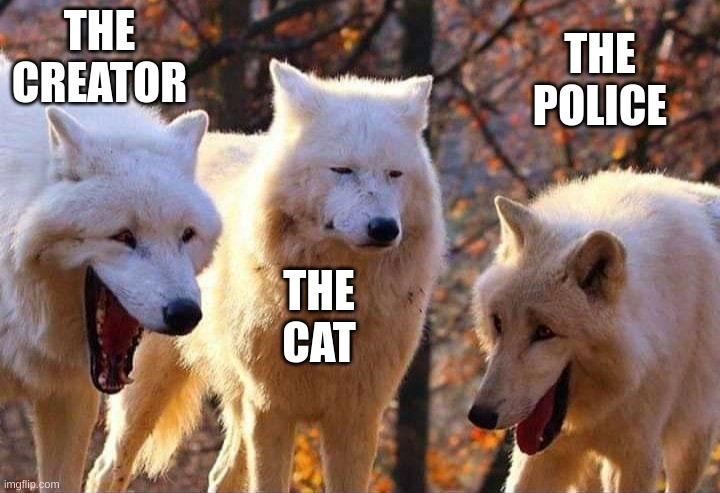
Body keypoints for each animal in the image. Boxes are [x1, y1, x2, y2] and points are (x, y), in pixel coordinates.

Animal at [86, 60, 445, 492]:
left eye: (395, 174)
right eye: (342, 170)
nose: (384, 228)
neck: (332, 305)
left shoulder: (357, 417)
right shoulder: (271, 409)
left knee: (221, 474)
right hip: (148, 387)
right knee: (107, 469)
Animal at [468, 170, 720, 492]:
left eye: (544, 332)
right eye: (499, 323)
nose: (480, 415)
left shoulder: (637, 456)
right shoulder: (545, 453)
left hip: (691, 442)